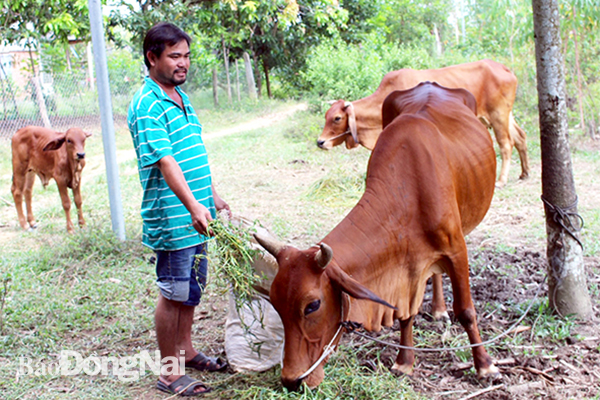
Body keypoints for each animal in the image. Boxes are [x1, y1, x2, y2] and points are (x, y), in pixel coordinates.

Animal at [255, 82, 500, 390]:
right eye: (274, 302)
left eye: (312, 305)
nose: (291, 380)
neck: (408, 190)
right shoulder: (408, 265)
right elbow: (406, 313)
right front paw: (404, 362)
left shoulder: (457, 249)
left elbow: (466, 311)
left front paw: (485, 366)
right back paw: (438, 309)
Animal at [318, 58, 528, 188]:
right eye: (327, 115)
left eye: (337, 118)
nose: (320, 142)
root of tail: (503, 68)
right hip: (505, 114)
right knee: (520, 137)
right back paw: (524, 173)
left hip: (498, 114)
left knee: (506, 144)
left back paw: (501, 180)